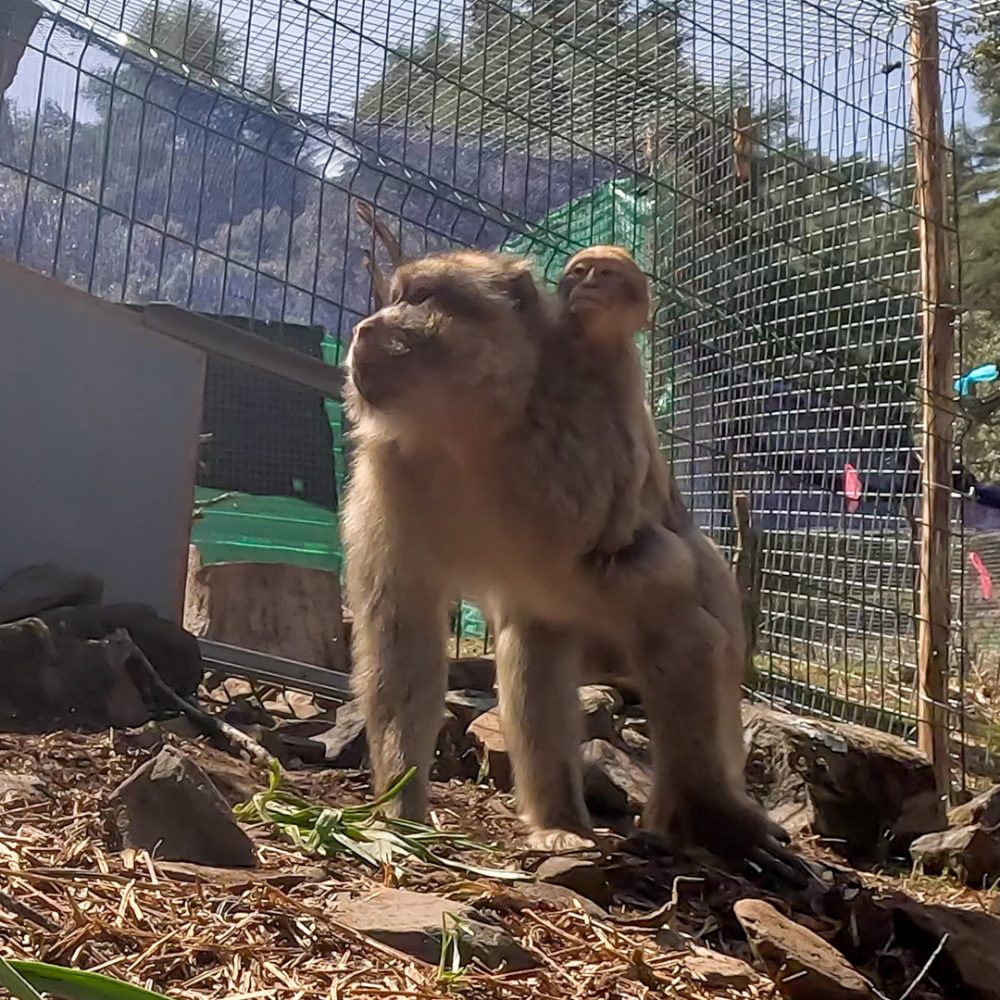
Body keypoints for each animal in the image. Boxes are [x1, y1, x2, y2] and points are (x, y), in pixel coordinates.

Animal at [341, 248, 801, 879]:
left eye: (420, 297)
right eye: (394, 297)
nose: (365, 328)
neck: (476, 431)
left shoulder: (587, 457)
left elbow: (659, 584)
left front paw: (715, 819)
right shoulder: (390, 474)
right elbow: (403, 633)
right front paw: (400, 812)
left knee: (679, 620)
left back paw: (701, 813)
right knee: (535, 647)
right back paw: (561, 823)